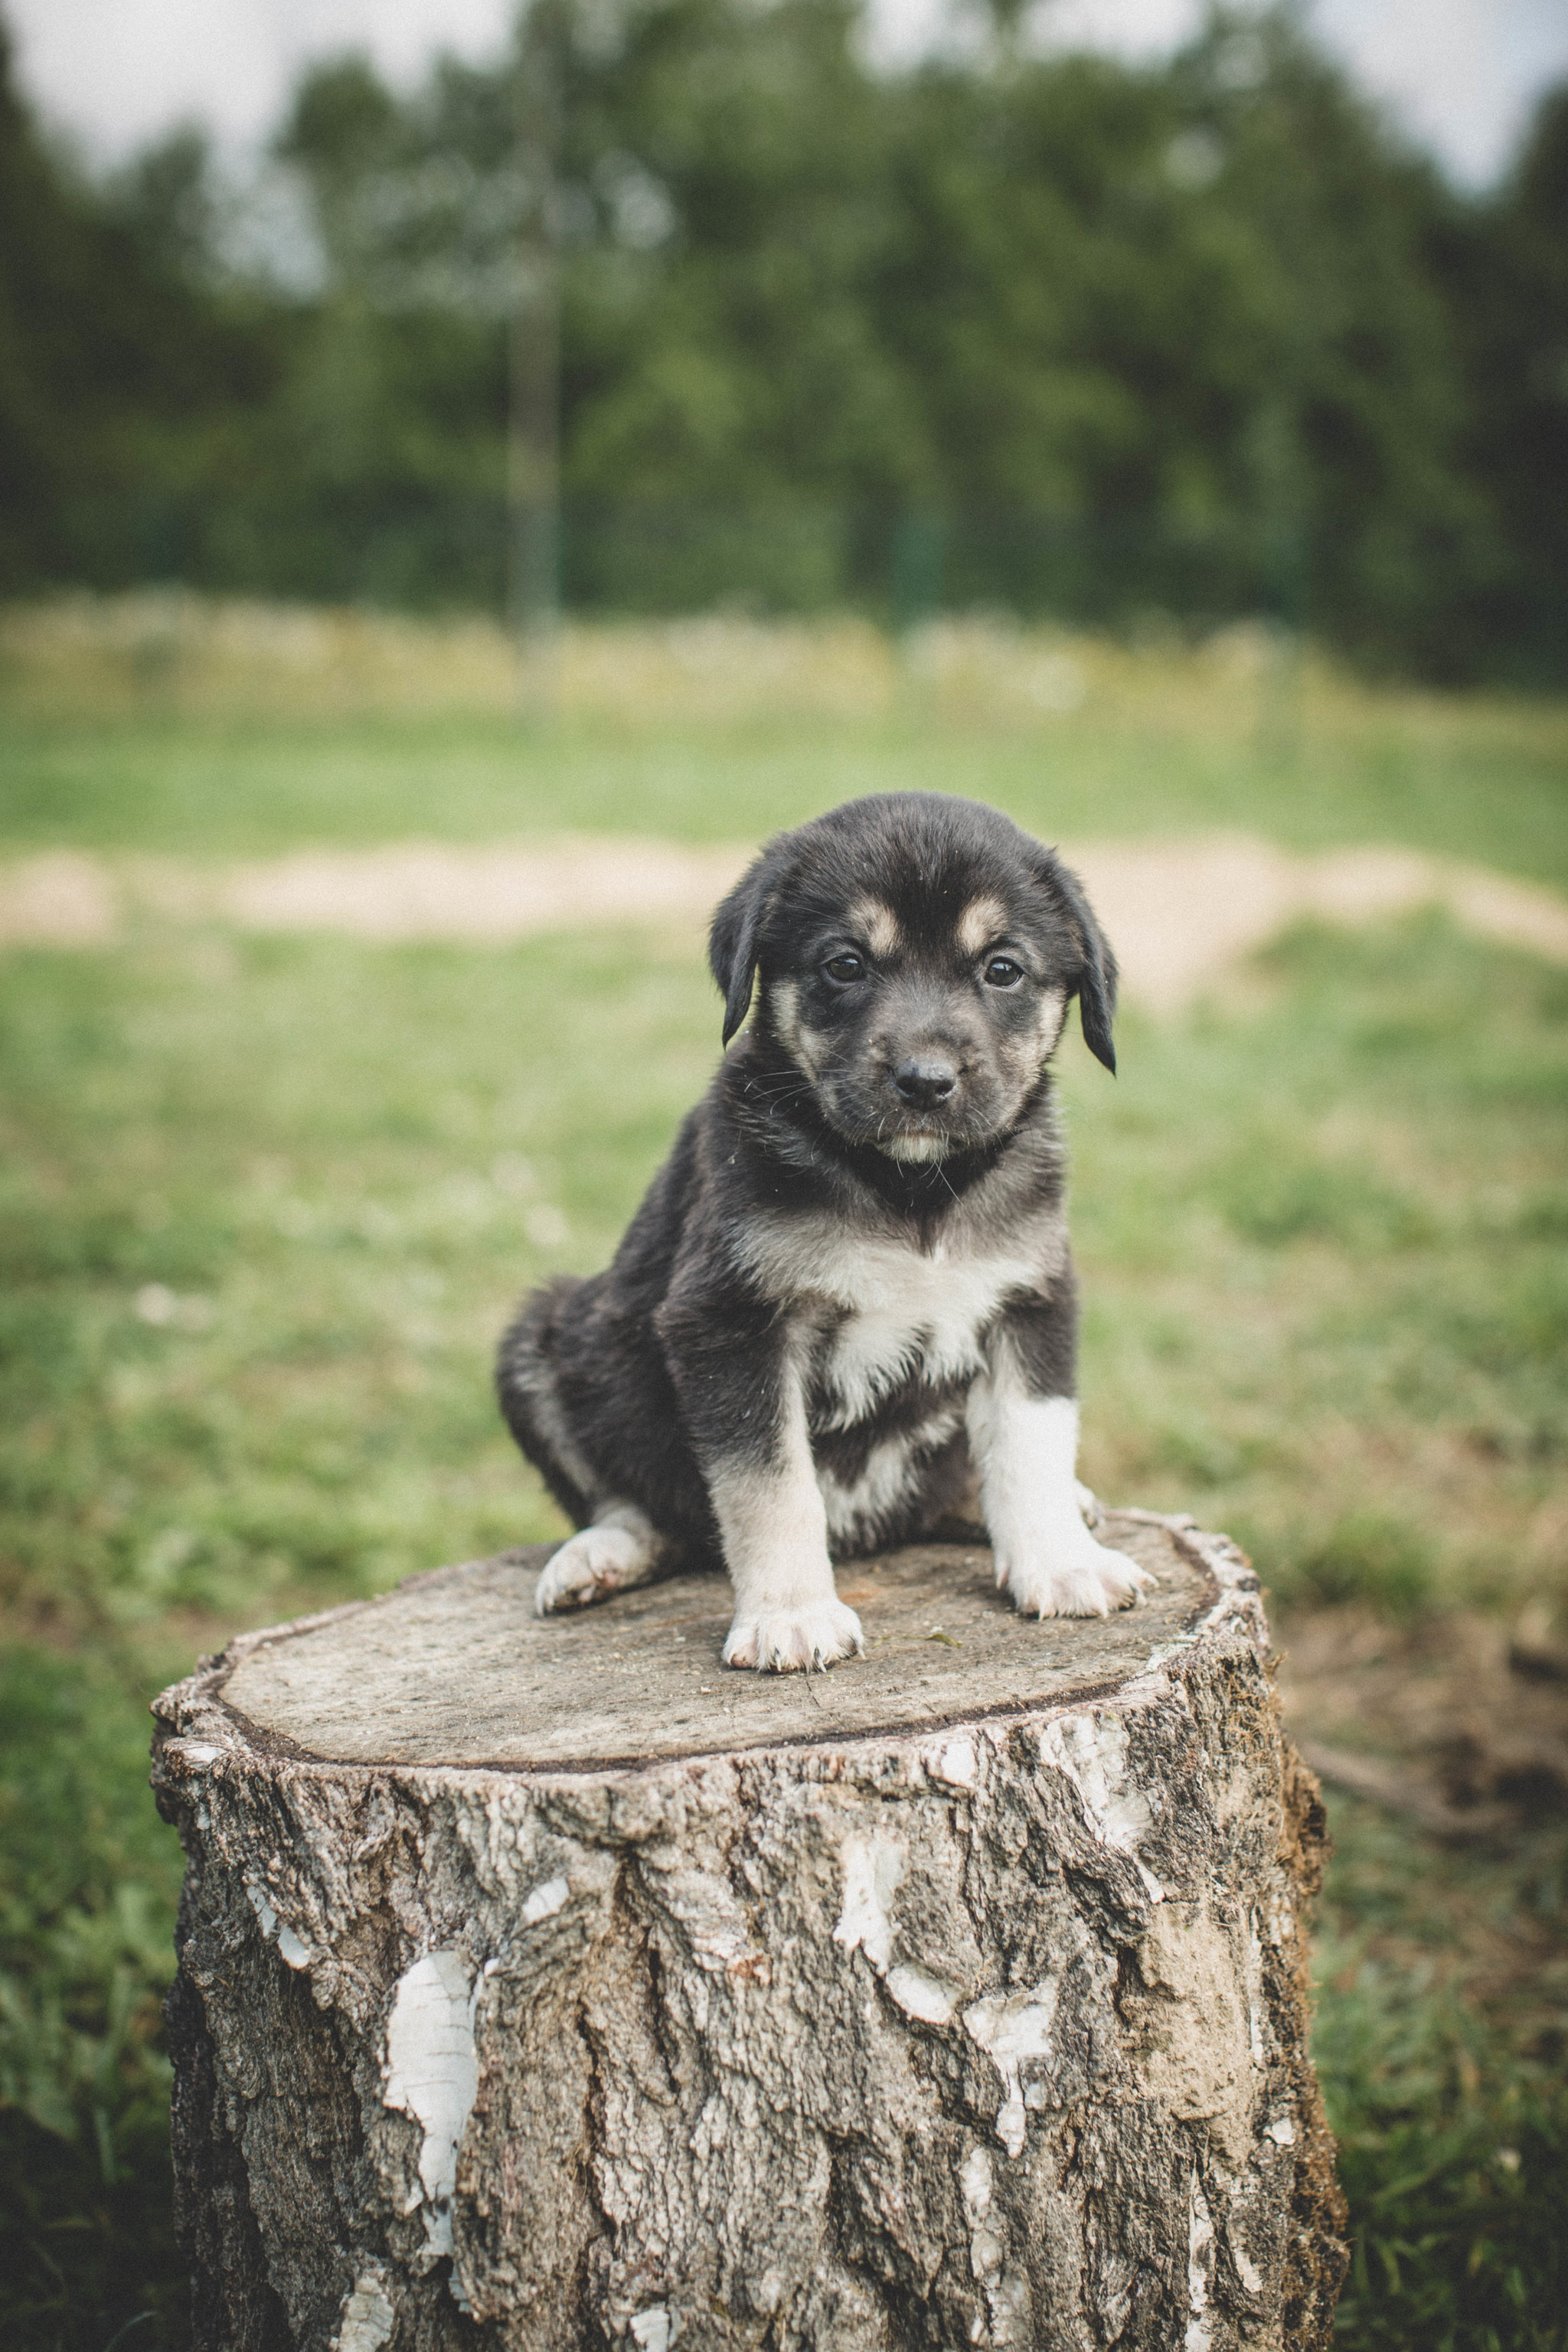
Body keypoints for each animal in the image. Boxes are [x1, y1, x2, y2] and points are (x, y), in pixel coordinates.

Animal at [503, 795, 1152, 1674]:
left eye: (1002, 968)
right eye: (845, 965)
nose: (925, 1082)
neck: (909, 1191)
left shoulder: (1030, 1300)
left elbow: (1031, 1447)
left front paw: (1060, 1564)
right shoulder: (730, 1324)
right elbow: (770, 1488)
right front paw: (791, 1615)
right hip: (542, 1337)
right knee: (642, 1507)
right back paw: (599, 1555)